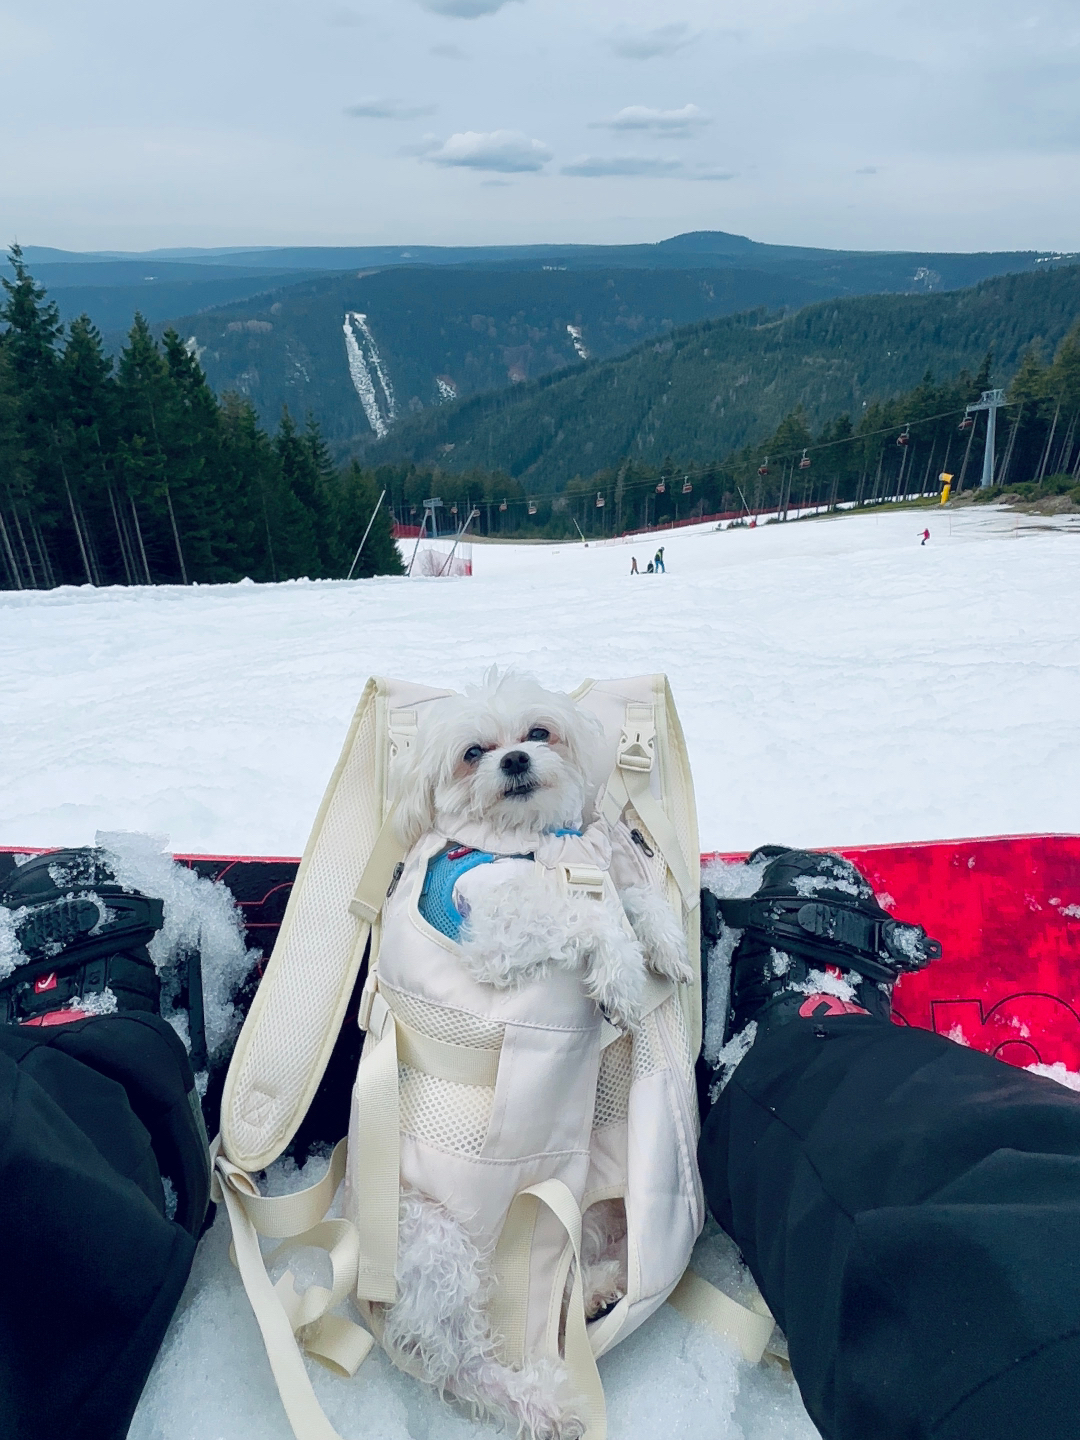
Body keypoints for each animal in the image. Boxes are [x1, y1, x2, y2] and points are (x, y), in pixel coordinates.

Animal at [374, 668, 694, 1434]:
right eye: (472, 753)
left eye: (538, 733)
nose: (515, 760)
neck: (523, 843)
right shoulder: (490, 929)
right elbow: (581, 910)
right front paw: (618, 973)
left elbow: (626, 897)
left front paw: (665, 942)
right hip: (433, 1243)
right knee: (458, 1362)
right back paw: (541, 1402)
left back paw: (602, 1287)